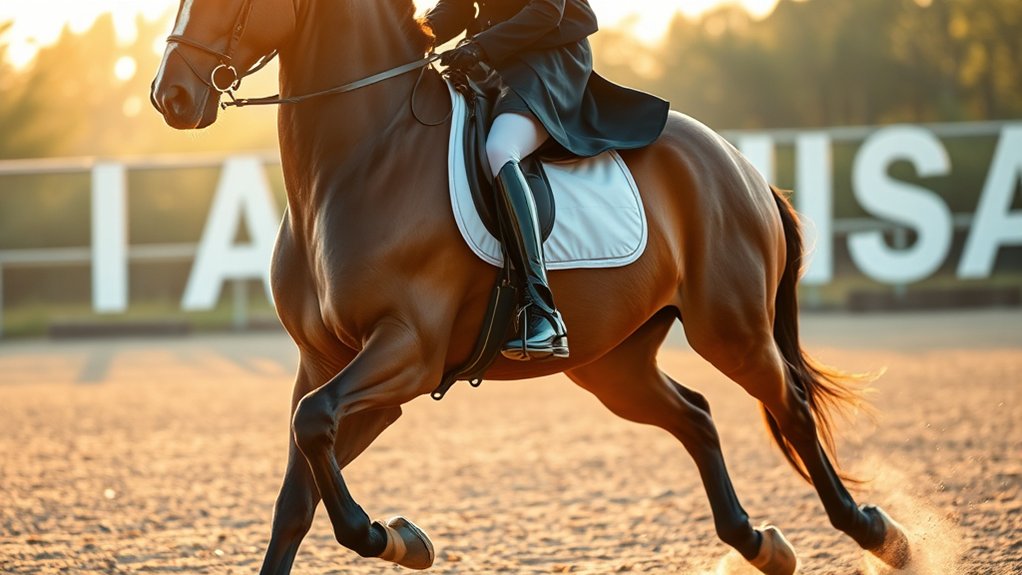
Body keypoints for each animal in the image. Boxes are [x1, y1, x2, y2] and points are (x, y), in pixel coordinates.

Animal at [151, 1, 912, 574]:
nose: (171, 96)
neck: (361, 160)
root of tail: (739, 164)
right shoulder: (326, 364)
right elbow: (298, 485)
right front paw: (397, 535)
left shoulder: (407, 352)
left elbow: (314, 428)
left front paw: (395, 538)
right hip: (613, 364)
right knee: (696, 414)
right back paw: (759, 543)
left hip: (732, 330)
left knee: (791, 408)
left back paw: (881, 535)